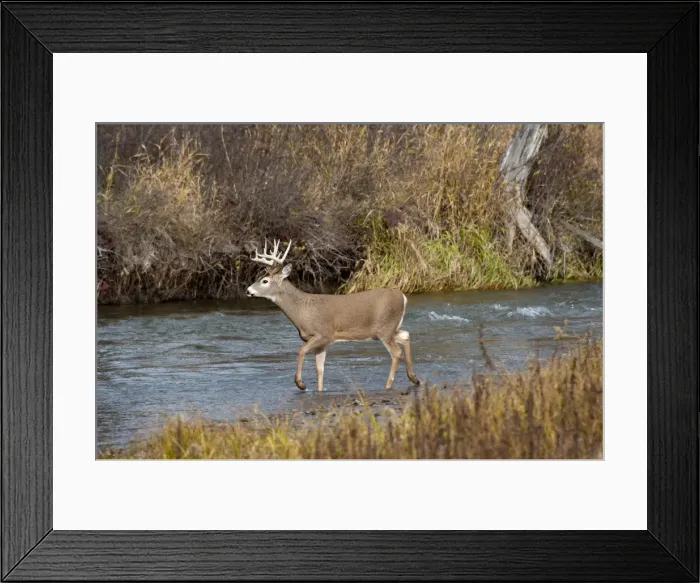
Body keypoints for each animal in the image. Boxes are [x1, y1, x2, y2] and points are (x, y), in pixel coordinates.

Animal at [245, 239, 420, 392]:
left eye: (265, 281)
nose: (248, 290)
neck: (302, 310)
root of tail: (402, 297)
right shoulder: (321, 343)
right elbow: (319, 369)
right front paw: (318, 390)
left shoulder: (323, 334)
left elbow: (301, 350)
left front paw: (300, 384)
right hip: (386, 330)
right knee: (405, 335)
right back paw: (414, 379)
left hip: (385, 328)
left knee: (396, 352)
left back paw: (388, 385)